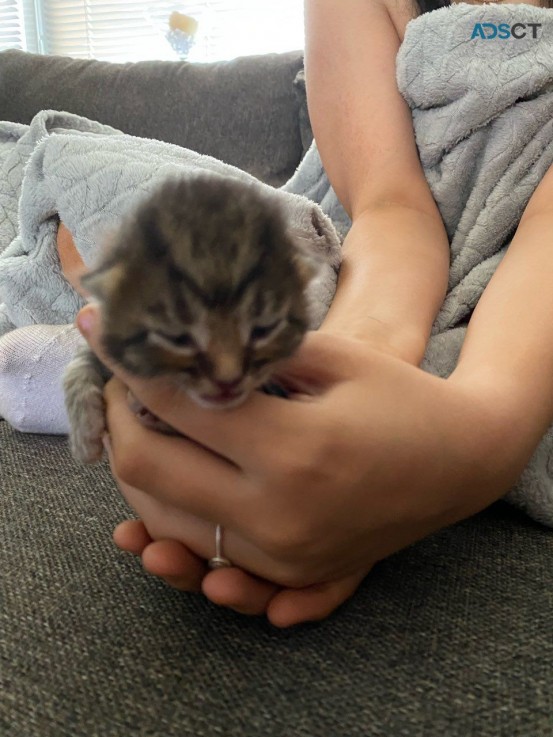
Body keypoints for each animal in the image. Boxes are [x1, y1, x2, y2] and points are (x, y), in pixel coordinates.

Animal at [63, 172, 324, 460]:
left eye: (264, 329)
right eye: (176, 338)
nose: (228, 382)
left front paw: (151, 414)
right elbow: (78, 363)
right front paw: (84, 432)